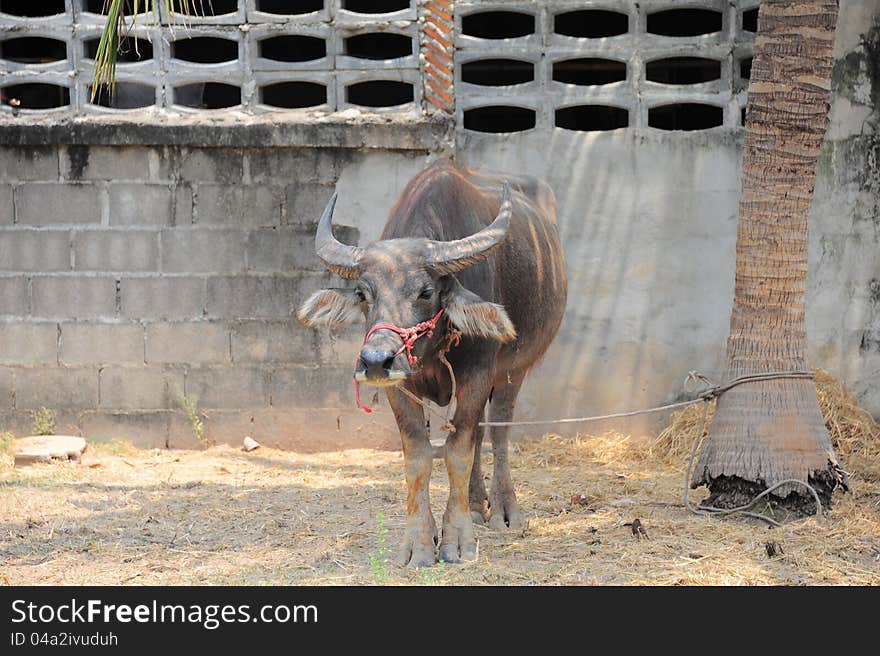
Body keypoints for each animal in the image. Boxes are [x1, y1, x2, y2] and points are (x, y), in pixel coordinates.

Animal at [300, 160, 568, 568]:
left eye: (426, 291)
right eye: (363, 293)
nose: (375, 361)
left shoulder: (478, 374)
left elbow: (458, 451)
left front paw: (457, 540)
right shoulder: (399, 386)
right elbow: (419, 455)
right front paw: (419, 542)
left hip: (514, 369)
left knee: (498, 430)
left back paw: (504, 510)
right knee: (477, 433)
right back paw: (476, 504)